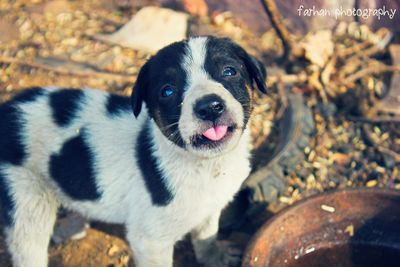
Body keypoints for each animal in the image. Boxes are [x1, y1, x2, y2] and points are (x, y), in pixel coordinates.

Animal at [1, 36, 268, 267]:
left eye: (229, 71)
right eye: (168, 91)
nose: (210, 107)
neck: (206, 166)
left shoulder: (209, 209)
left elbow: (206, 237)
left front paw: (216, 258)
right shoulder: (149, 241)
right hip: (27, 200)